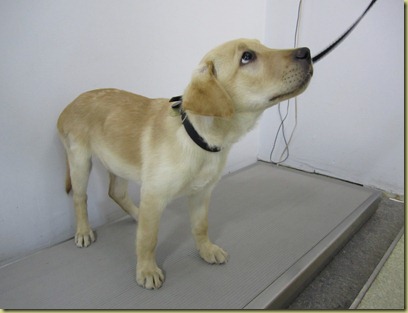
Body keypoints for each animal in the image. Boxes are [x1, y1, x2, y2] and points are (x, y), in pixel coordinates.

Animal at [56, 38, 312, 288]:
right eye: (247, 57)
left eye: (264, 46)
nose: (307, 52)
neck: (198, 137)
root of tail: (69, 105)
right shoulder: (154, 193)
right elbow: (148, 239)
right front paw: (147, 270)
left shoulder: (202, 193)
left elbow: (201, 226)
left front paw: (206, 249)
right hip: (80, 161)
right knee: (80, 198)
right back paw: (84, 231)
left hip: (116, 160)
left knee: (116, 193)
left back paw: (138, 215)